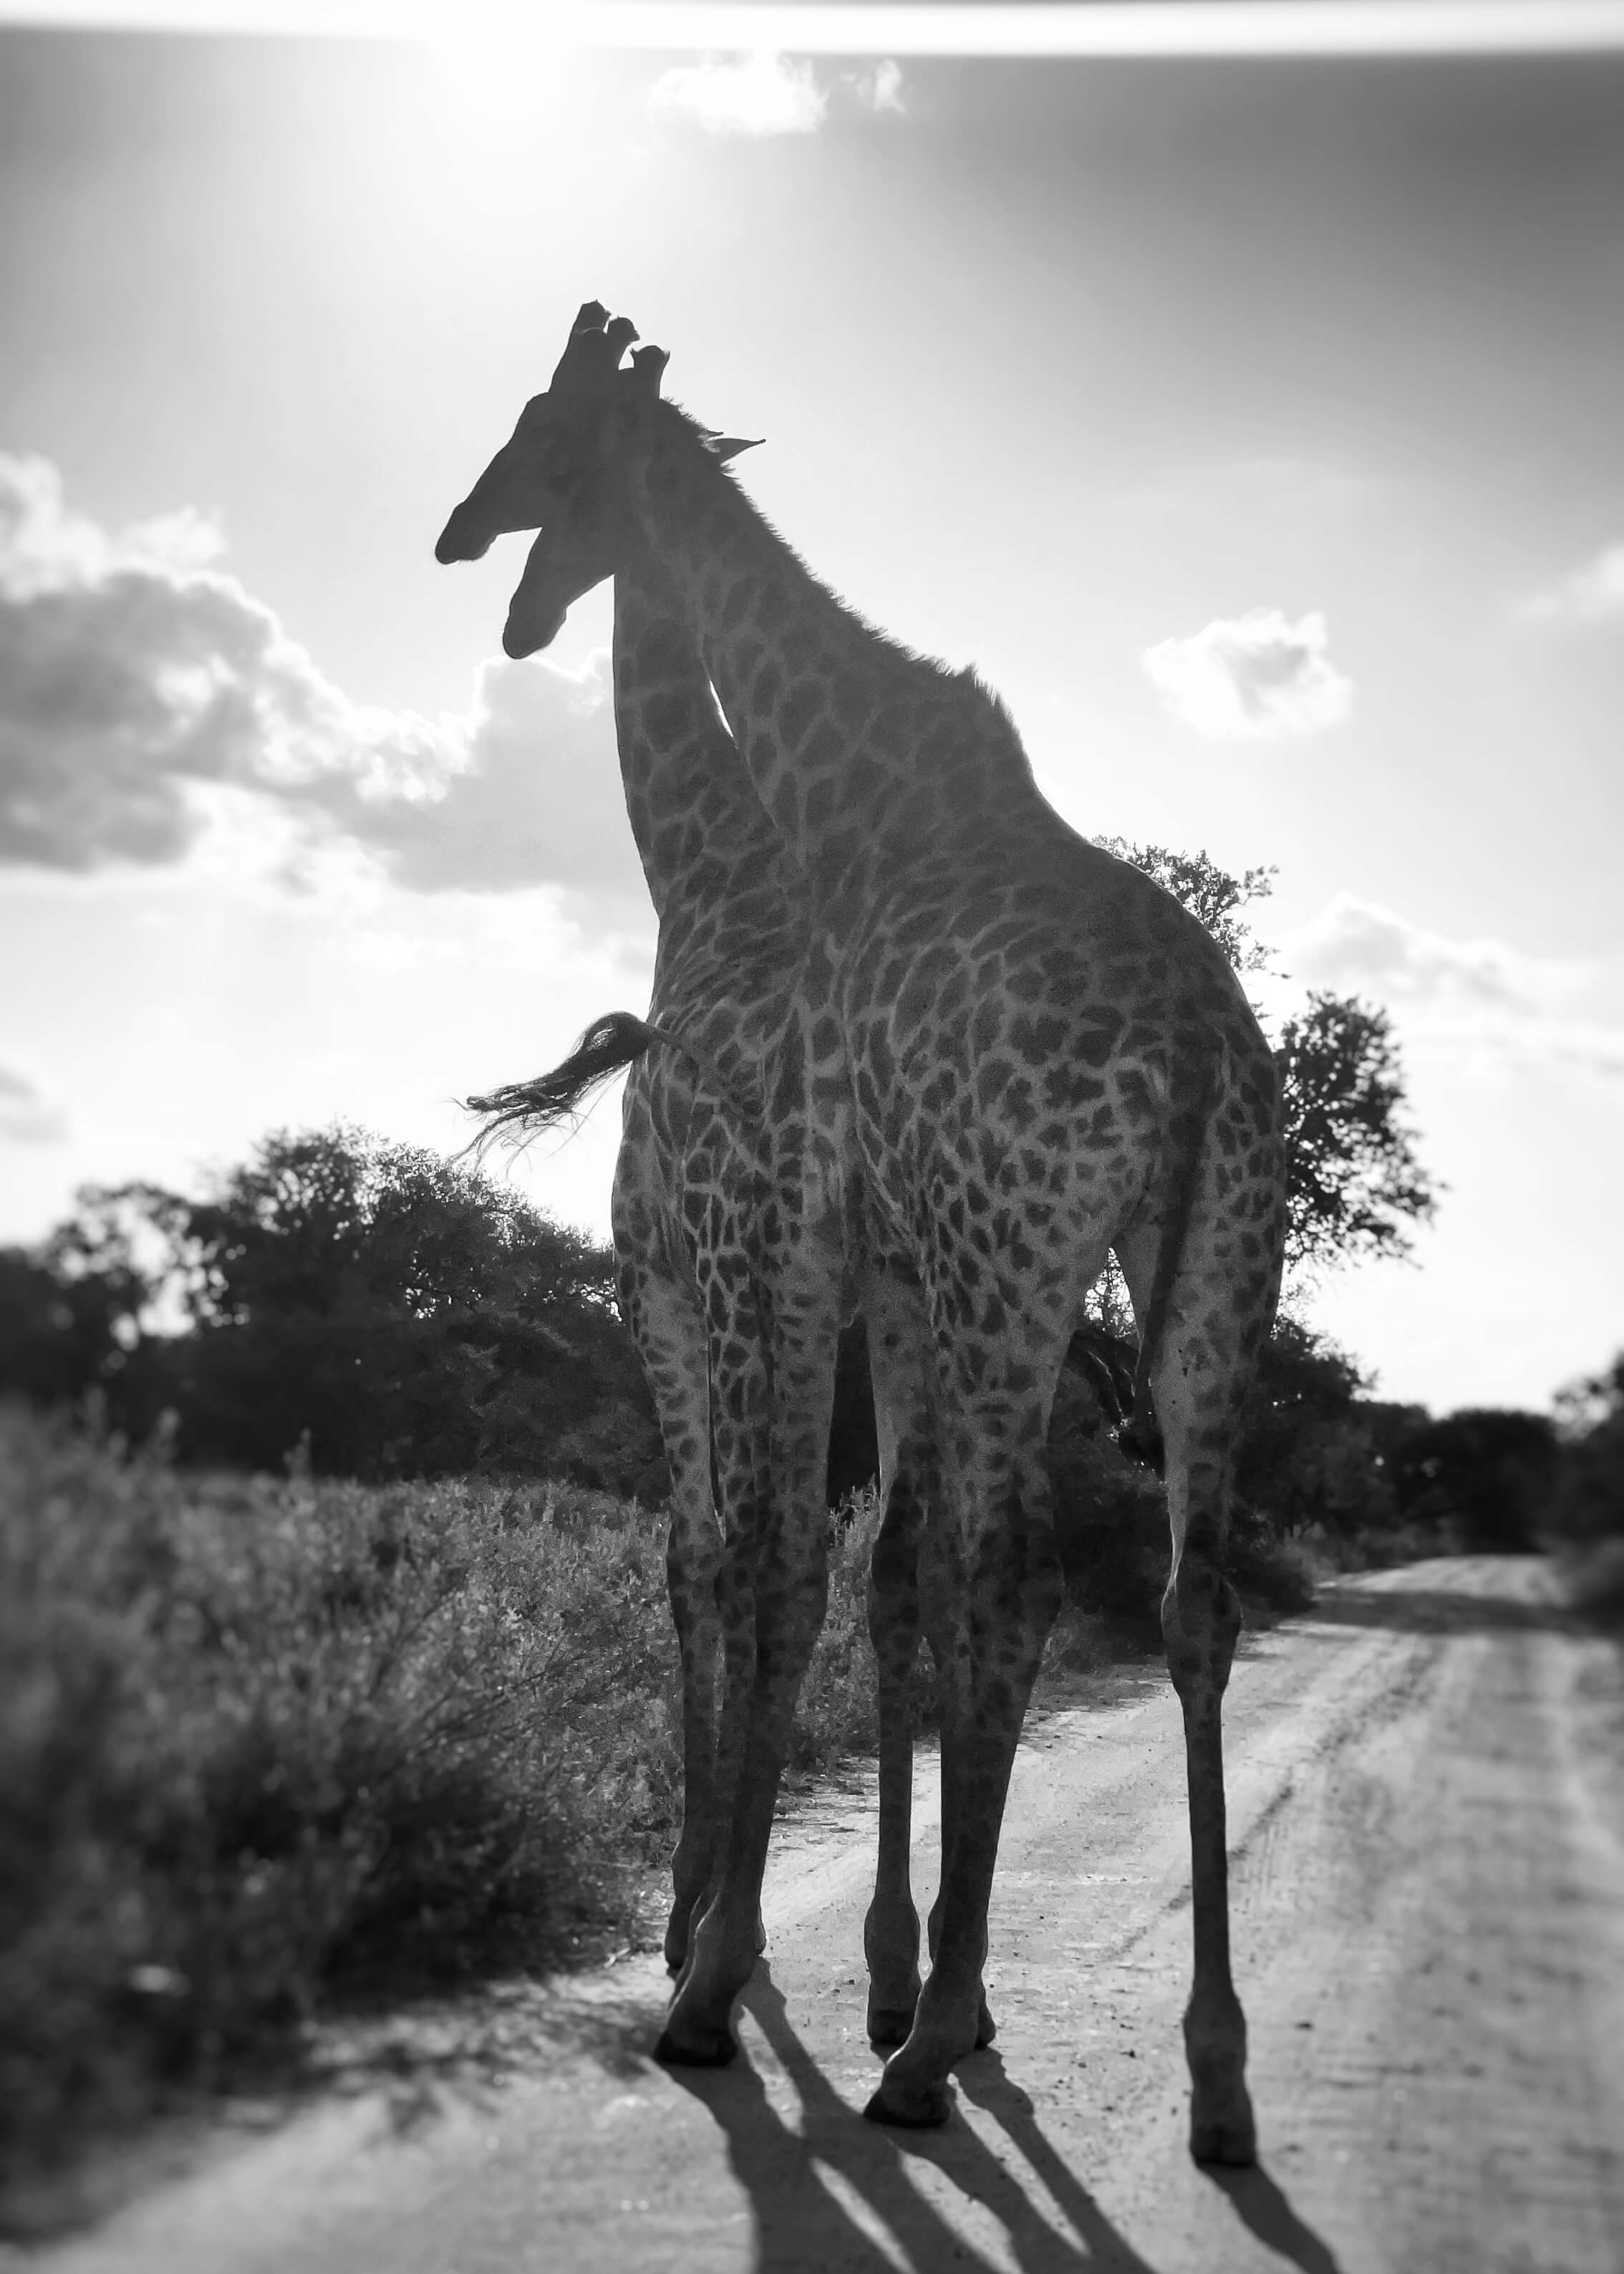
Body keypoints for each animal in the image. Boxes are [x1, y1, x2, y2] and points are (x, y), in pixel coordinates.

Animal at [436, 307, 1282, 2164]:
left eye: (541, 432)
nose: (466, 546)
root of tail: (1201, 1049)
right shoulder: (875, 1267)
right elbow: (859, 1576)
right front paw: (824, 1960)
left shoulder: (771, 1251)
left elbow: (768, 1566)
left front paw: (719, 1969)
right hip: (1209, 1279)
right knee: (1185, 1596)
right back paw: (1208, 2072)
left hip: (1006, 1254)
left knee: (1003, 1572)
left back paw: (918, 2042)